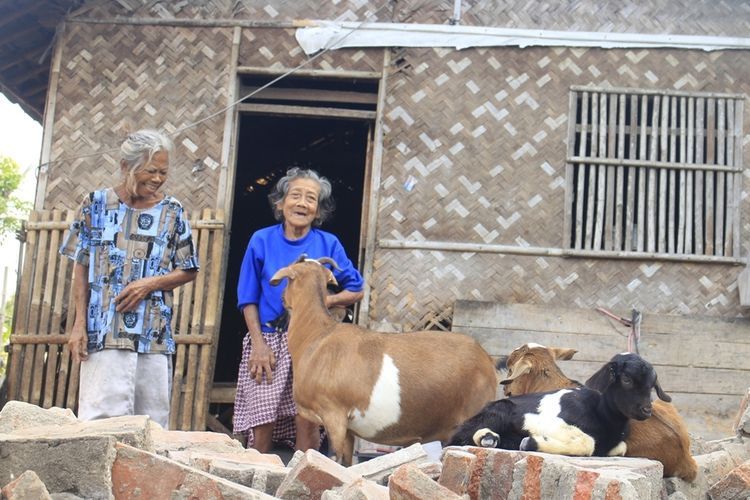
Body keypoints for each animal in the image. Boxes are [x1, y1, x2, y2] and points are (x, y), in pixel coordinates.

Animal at [270, 258, 500, 464]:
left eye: (287, 281)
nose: (280, 299)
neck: (318, 336)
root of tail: (486, 360)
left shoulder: (333, 414)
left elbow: (334, 458)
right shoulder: (348, 428)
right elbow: (346, 463)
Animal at [450, 352, 672, 458]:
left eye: (652, 384)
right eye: (626, 379)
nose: (646, 410)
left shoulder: (617, 444)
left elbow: (621, 447)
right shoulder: (545, 422)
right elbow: (587, 443)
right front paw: (530, 442)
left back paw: (492, 439)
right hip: (498, 411)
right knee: (458, 437)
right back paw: (488, 438)